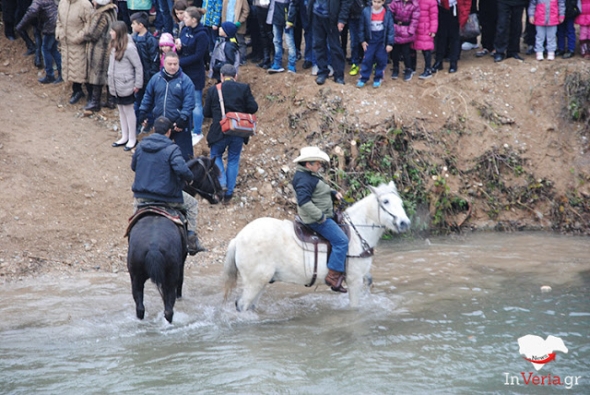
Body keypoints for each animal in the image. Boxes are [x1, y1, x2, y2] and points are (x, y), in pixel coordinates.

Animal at [127, 156, 222, 324]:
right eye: (213, 173)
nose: (221, 194)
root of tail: (153, 248)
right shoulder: (182, 260)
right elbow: (181, 282)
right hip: (168, 277)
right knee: (168, 310)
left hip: (136, 278)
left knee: (140, 308)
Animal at [222, 181, 412, 310]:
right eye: (385, 202)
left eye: (401, 202)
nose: (405, 223)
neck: (358, 231)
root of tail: (237, 239)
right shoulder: (354, 279)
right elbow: (354, 306)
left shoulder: (362, 275)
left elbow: (370, 281)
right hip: (254, 282)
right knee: (242, 305)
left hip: (261, 282)